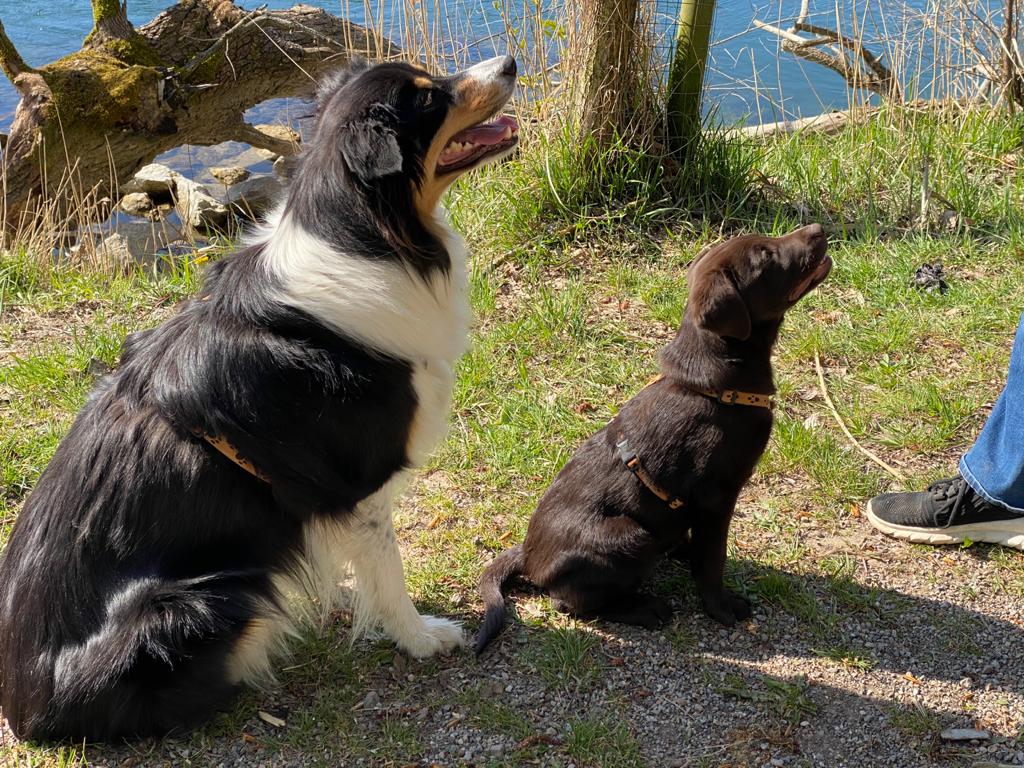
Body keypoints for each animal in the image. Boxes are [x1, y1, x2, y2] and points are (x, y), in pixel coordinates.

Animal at [2, 55, 520, 745]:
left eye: (429, 78)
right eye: (429, 99)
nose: (509, 64)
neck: (370, 237)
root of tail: (24, 712)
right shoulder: (361, 483)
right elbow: (389, 571)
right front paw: (420, 637)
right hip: (204, 601)